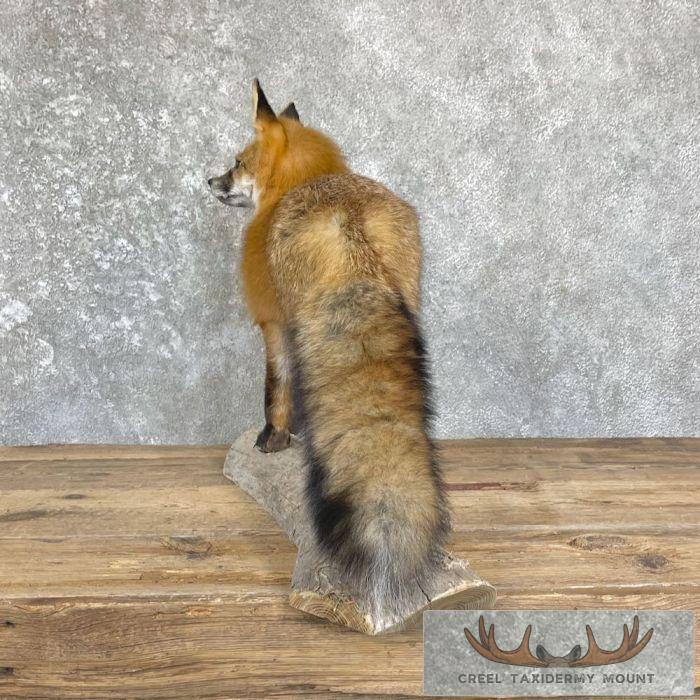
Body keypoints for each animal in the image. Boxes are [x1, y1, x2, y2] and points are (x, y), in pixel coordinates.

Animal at [208, 80, 450, 622]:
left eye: (238, 161)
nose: (209, 181)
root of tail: (349, 226)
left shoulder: (274, 323)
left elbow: (275, 389)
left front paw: (274, 439)